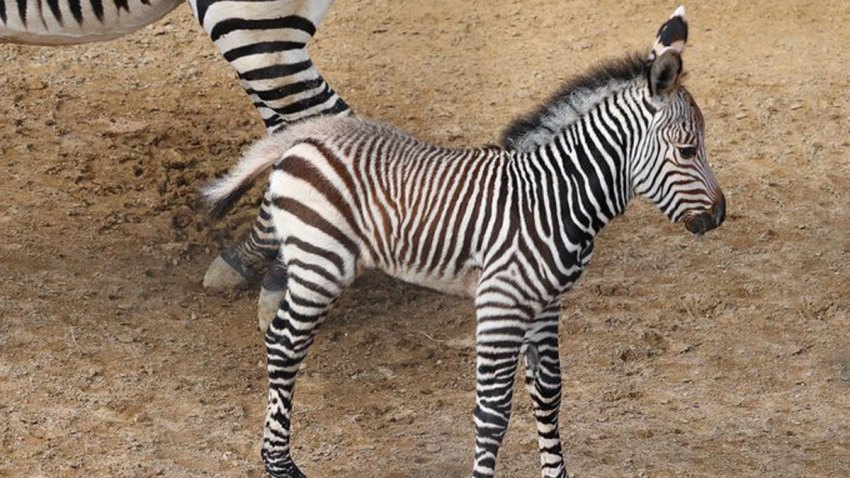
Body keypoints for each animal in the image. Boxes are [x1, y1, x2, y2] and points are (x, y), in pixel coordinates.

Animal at [205, 6, 724, 478]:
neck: (556, 196)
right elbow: (493, 413)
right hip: (320, 263)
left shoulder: (546, 304)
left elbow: (549, 394)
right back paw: (280, 466)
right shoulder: (501, 303)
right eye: (686, 150)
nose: (720, 216)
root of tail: (307, 134)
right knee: (284, 345)